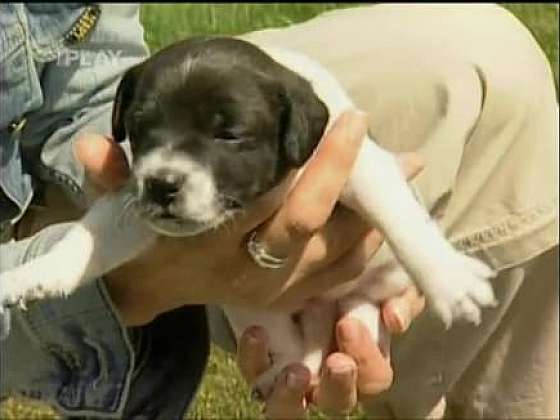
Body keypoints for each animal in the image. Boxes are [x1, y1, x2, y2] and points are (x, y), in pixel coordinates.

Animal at [0, 37, 496, 398]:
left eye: (229, 134)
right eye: (140, 127)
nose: (161, 185)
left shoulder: (359, 162)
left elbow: (399, 216)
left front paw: (450, 281)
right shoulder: (134, 204)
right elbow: (91, 236)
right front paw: (36, 273)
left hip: (374, 287)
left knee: (364, 310)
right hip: (253, 312)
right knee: (296, 351)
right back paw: (287, 374)